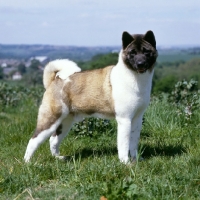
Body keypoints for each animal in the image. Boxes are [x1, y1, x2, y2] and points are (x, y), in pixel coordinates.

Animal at [23, 30, 158, 163]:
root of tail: (54, 80)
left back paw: (58, 158)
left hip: (65, 121)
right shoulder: (124, 120)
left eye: (146, 52)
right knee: (33, 140)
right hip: (51, 119)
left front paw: (136, 159)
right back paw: (28, 162)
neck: (135, 78)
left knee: (53, 139)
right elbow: (124, 144)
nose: (140, 63)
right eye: (132, 53)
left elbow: (133, 142)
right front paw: (126, 162)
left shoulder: (136, 119)